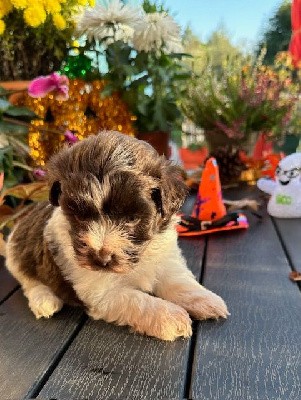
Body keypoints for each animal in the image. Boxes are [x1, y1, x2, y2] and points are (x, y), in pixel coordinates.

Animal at [5, 131, 227, 340]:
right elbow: (138, 301)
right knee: (29, 281)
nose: (101, 258)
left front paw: (203, 299)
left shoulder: (167, 260)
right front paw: (170, 316)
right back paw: (44, 300)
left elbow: (179, 281)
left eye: (132, 218)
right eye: (79, 216)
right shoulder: (103, 292)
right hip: (17, 257)